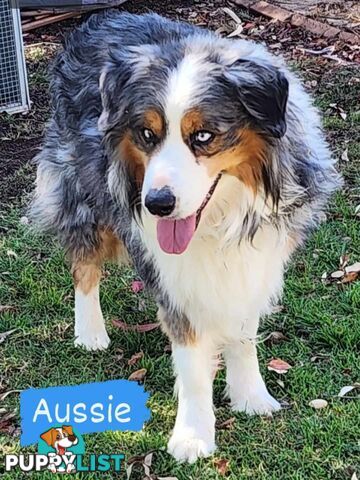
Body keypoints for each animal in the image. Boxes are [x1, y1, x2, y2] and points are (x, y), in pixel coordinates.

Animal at [30, 10, 340, 462]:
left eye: (204, 136)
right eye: (146, 135)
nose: (157, 204)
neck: (220, 217)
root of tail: (103, 16)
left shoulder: (254, 260)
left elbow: (243, 334)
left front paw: (249, 396)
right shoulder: (176, 277)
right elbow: (192, 361)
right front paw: (193, 434)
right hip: (81, 192)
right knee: (84, 264)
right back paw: (90, 333)